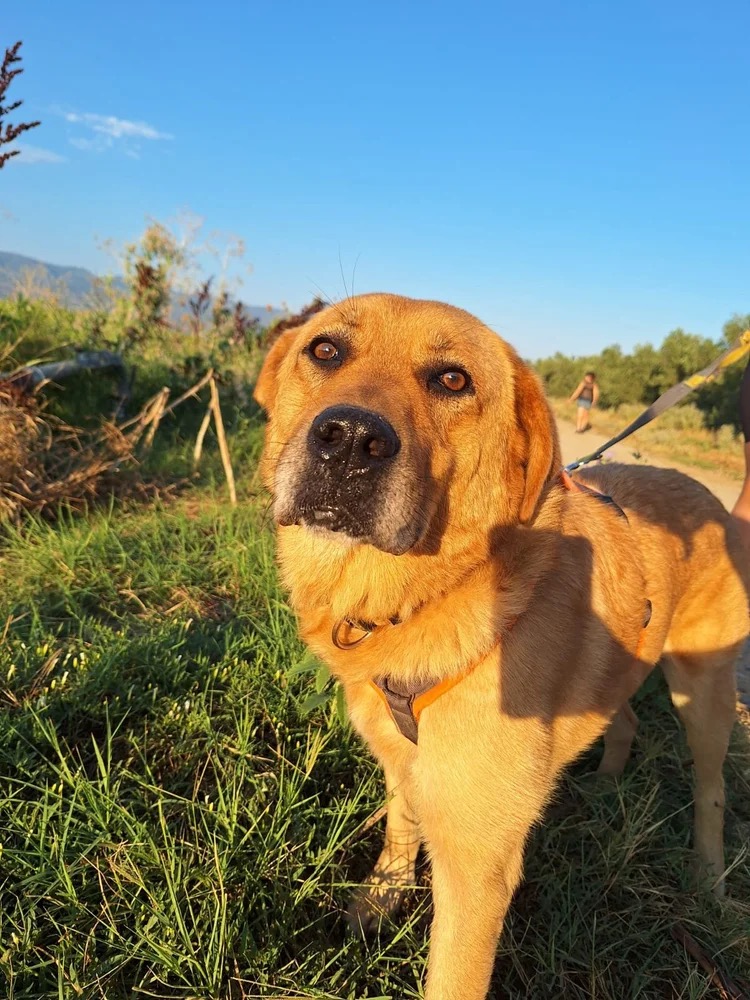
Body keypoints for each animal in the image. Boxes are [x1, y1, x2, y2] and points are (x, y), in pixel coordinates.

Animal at [254, 293, 749, 1000]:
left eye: (453, 379)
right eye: (324, 350)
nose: (348, 439)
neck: (433, 595)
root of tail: (709, 497)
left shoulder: (477, 867)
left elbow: (452, 977)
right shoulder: (404, 762)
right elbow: (400, 826)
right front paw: (378, 900)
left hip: (703, 693)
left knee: (712, 789)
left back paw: (709, 882)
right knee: (623, 715)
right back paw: (604, 785)